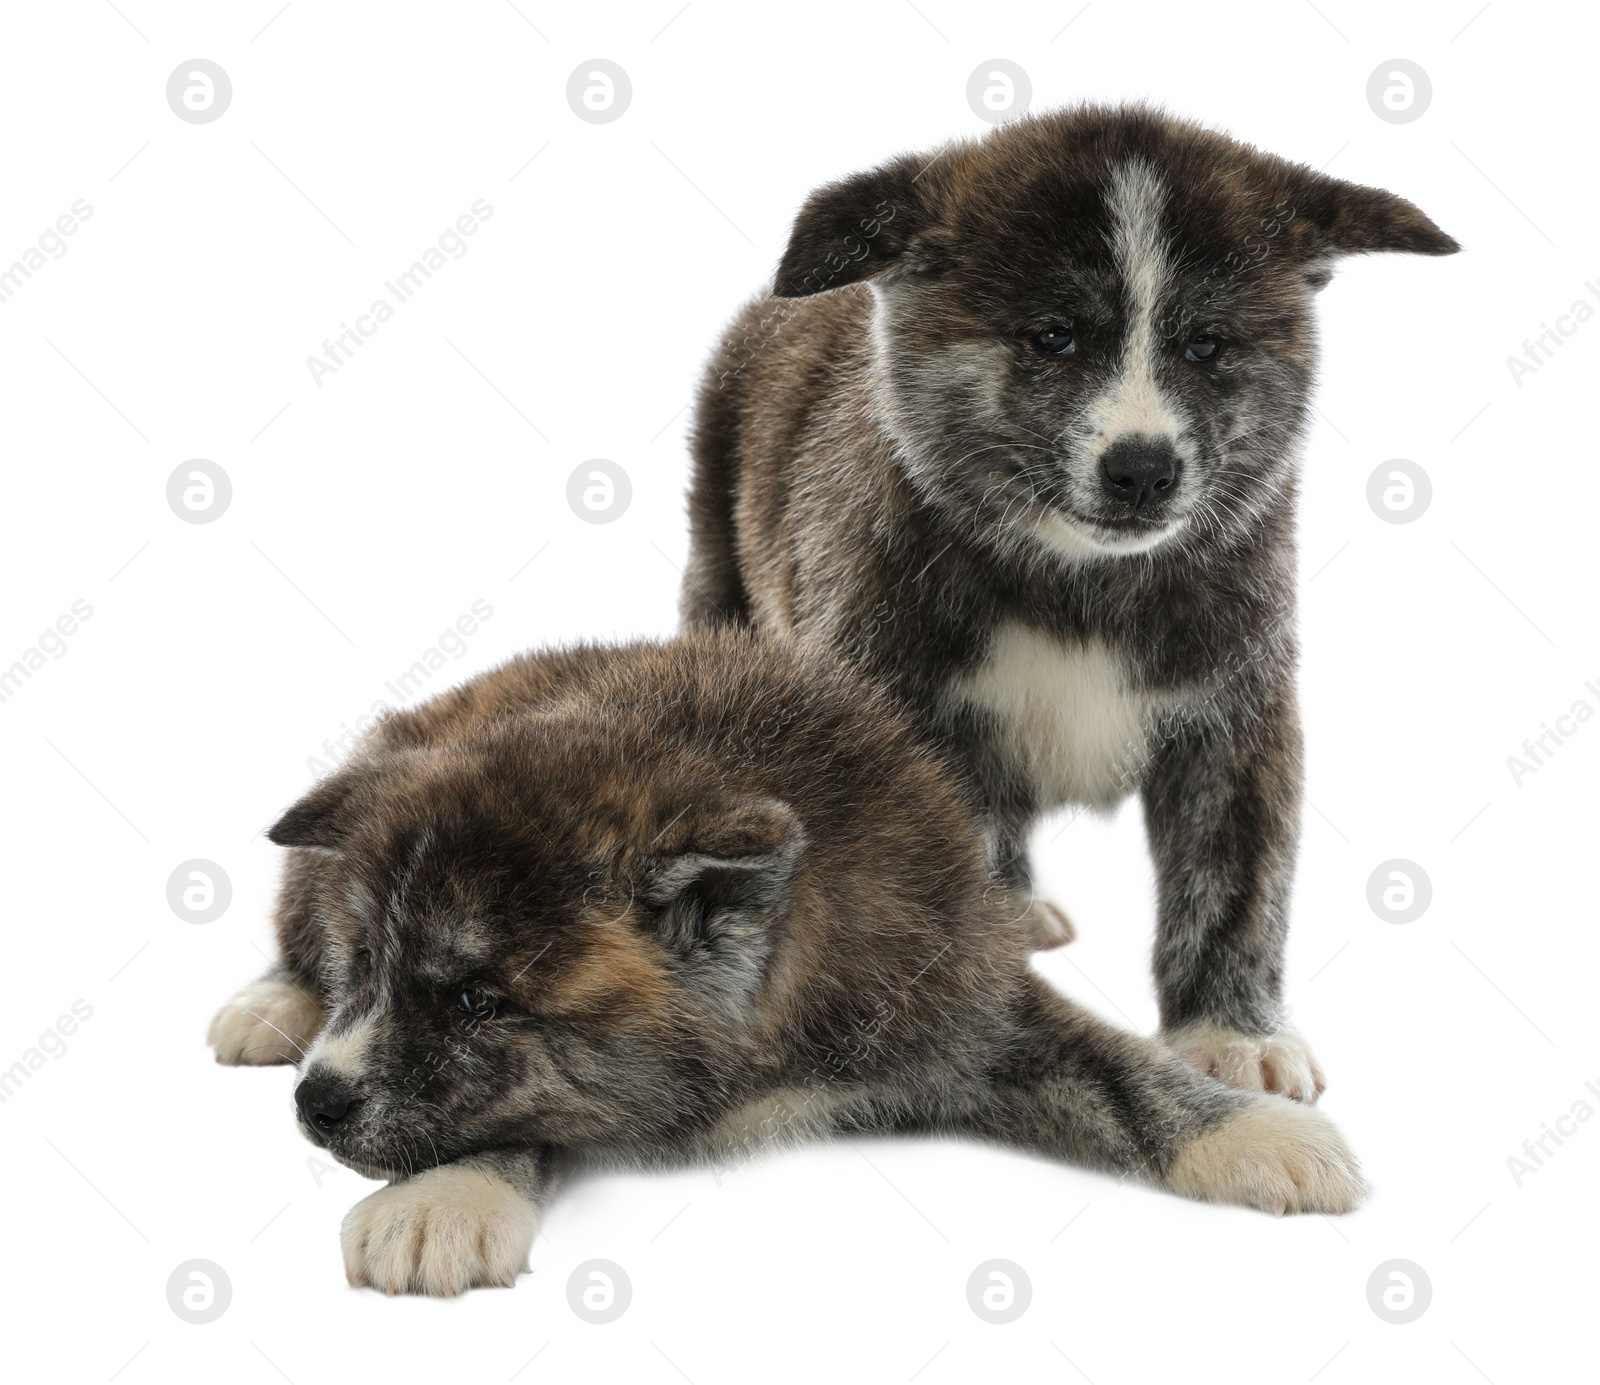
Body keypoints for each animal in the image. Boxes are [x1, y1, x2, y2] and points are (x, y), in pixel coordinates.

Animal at [209, 630, 1363, 1292]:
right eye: (368, 965)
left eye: (476, 1000)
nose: (318, 1100)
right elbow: (524, 1113)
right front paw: (447, 1194)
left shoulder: (958, 990)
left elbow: (1117, 1067)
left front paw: (1253, 1128)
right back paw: (269, 1004)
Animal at [681, 102, 1459, 1100]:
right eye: (1052, 336)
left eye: (1208, 344)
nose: (1144, 469)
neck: (1080, 582)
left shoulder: (1236, 716)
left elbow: (1235, 882)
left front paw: (1234, 1032)